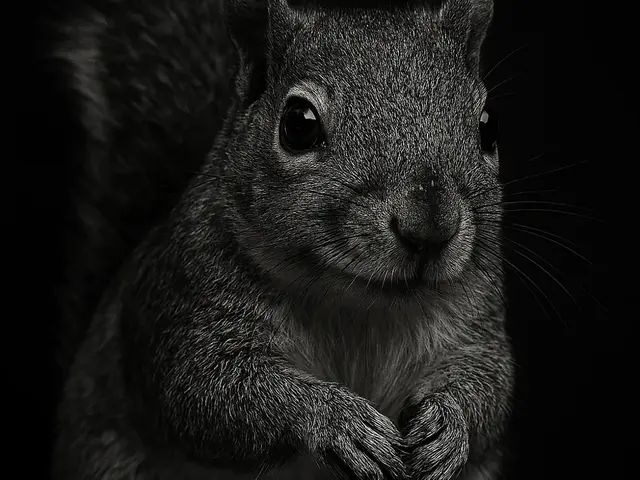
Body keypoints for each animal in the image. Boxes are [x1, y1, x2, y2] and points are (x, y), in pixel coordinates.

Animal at [53, 0, 515, 479]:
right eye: (298, 124)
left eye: (488, 125)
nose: (429, 226)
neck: (361, 305)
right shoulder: (182, 300)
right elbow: (201, 390)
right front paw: (335, 420)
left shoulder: (476, 320)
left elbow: (489, 382)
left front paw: (450, 424)